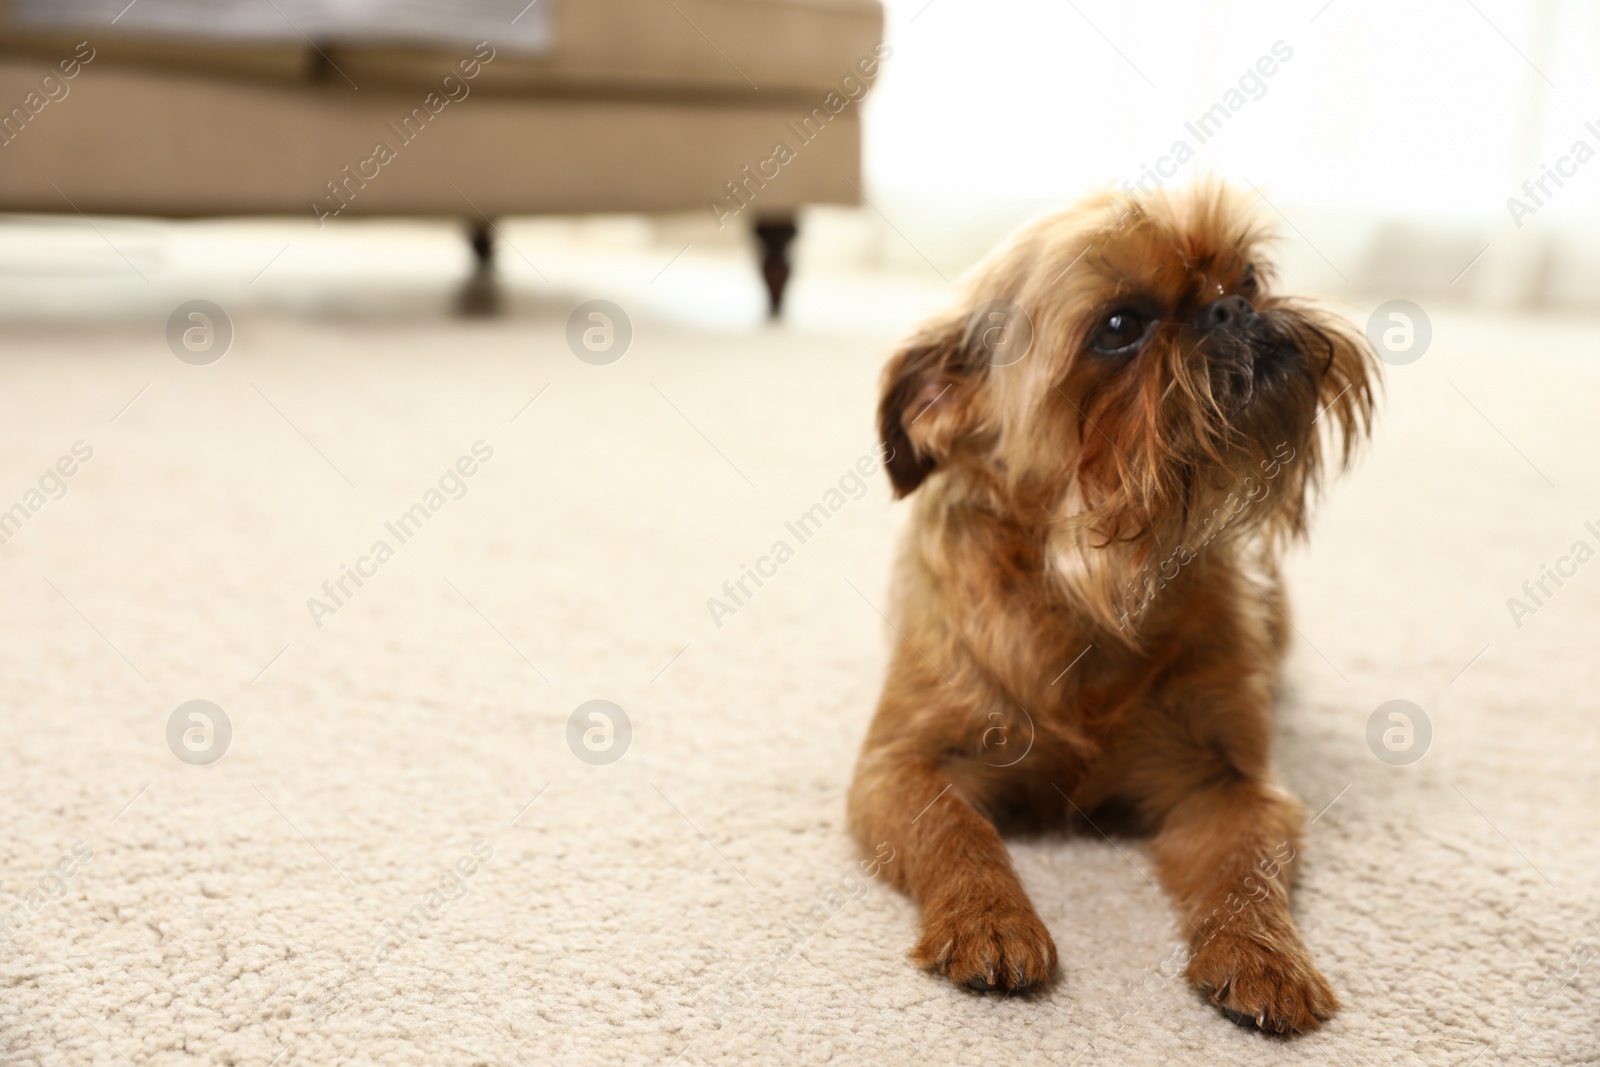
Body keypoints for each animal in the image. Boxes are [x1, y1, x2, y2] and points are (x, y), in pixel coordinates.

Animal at [851, 183, 1376, 1036]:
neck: (1091, 584)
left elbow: (1247, 868)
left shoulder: (1231, 784)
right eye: (1121, 327)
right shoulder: (897, 767)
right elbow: (956, 829)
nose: (1231, 308)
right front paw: (991, 917)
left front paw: (1265, 954)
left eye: (1249, 277)